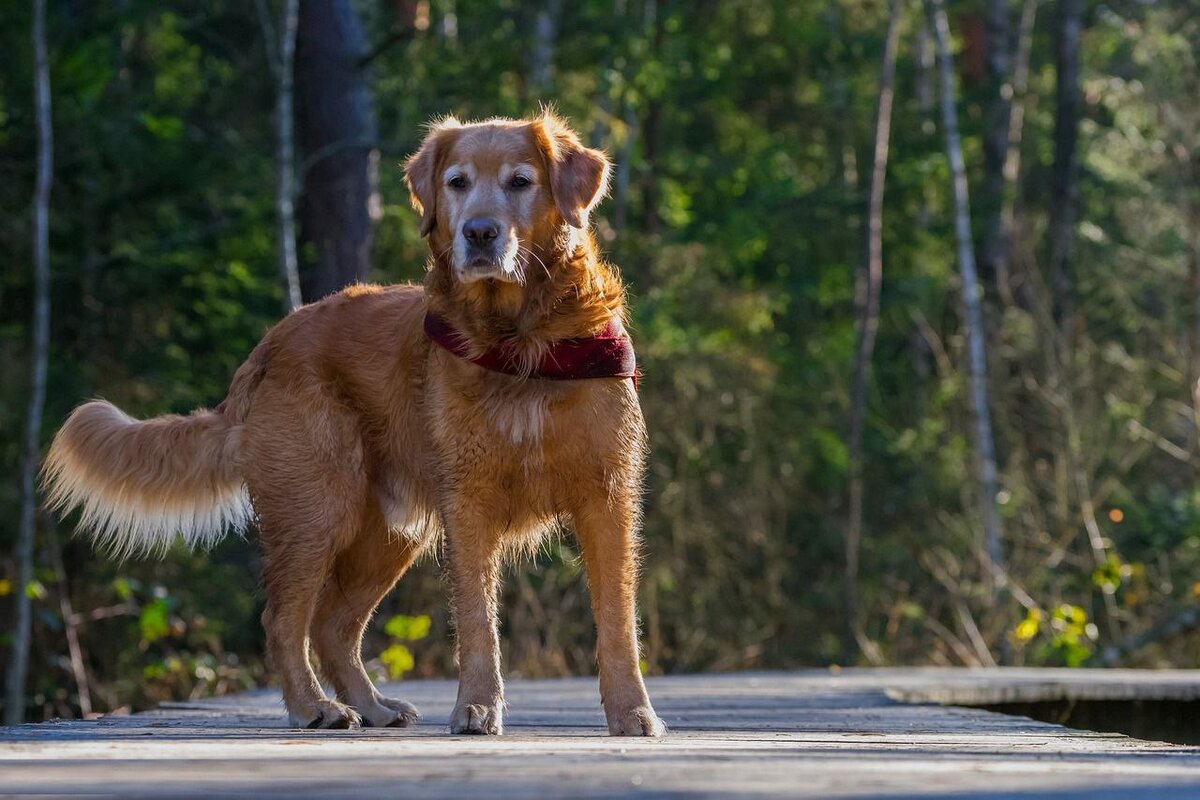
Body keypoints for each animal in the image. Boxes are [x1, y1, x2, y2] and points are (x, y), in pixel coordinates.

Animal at [42, 112, 667, 738]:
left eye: (521, 181)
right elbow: (476, 620)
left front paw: (632, 710)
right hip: (319, 507)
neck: (521, 340)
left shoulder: (607, 496)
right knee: (284, 619)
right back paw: (313, 706)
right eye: (458, 183)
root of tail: (270, 344)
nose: (479, 233)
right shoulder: (468, 501)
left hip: (388, 533)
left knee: (332, 625)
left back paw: (371, 706)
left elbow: (617, 618)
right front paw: (477, 706)